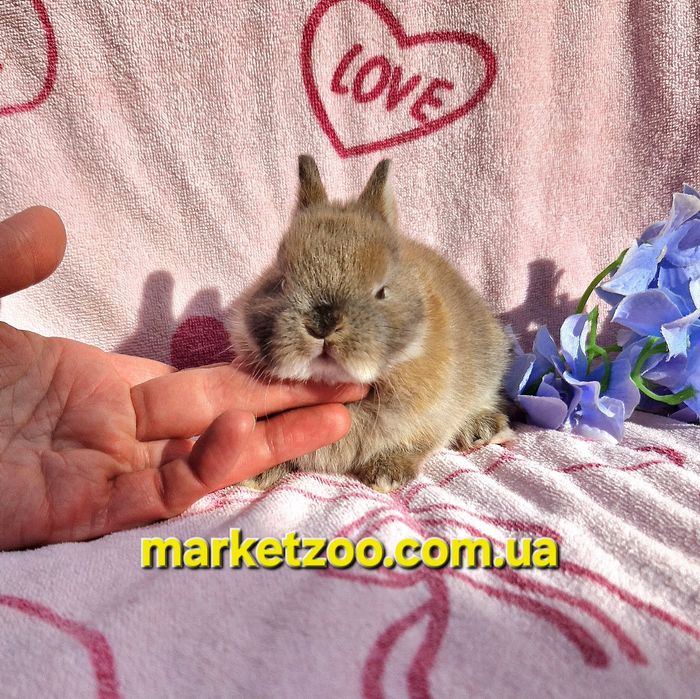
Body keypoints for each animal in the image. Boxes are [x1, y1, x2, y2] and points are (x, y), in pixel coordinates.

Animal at [228, 155, 513, 492]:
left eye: (382, 291)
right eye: (281, 281)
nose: (323, 324)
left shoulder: (430, 416)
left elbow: (414, 443)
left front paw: (385, 475)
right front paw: (258, 474)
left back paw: (482, 430)